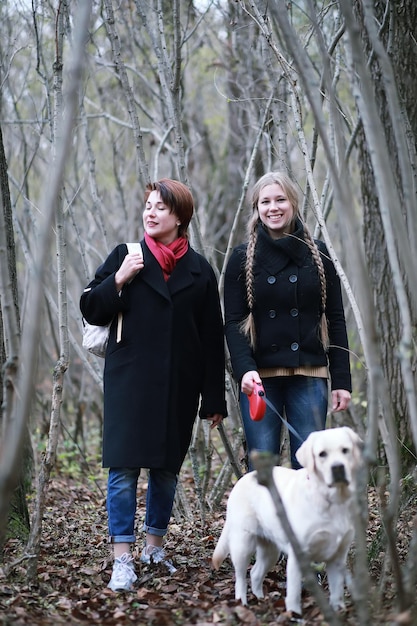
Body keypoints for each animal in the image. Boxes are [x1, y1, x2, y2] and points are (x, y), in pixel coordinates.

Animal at [211, 424, 360, 616]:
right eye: (322, 454)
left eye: (345, 450)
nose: (338, 468)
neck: (332, 500)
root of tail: (242, 479)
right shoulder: (298, 555)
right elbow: (294, 592)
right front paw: (294, 615)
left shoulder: (338, 557)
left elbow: (336, 592)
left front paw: (337, 612)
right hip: (243, 544)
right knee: (240, 578)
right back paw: (242, 604)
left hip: (270, 550)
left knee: (256, 573)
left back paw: (261, 600)